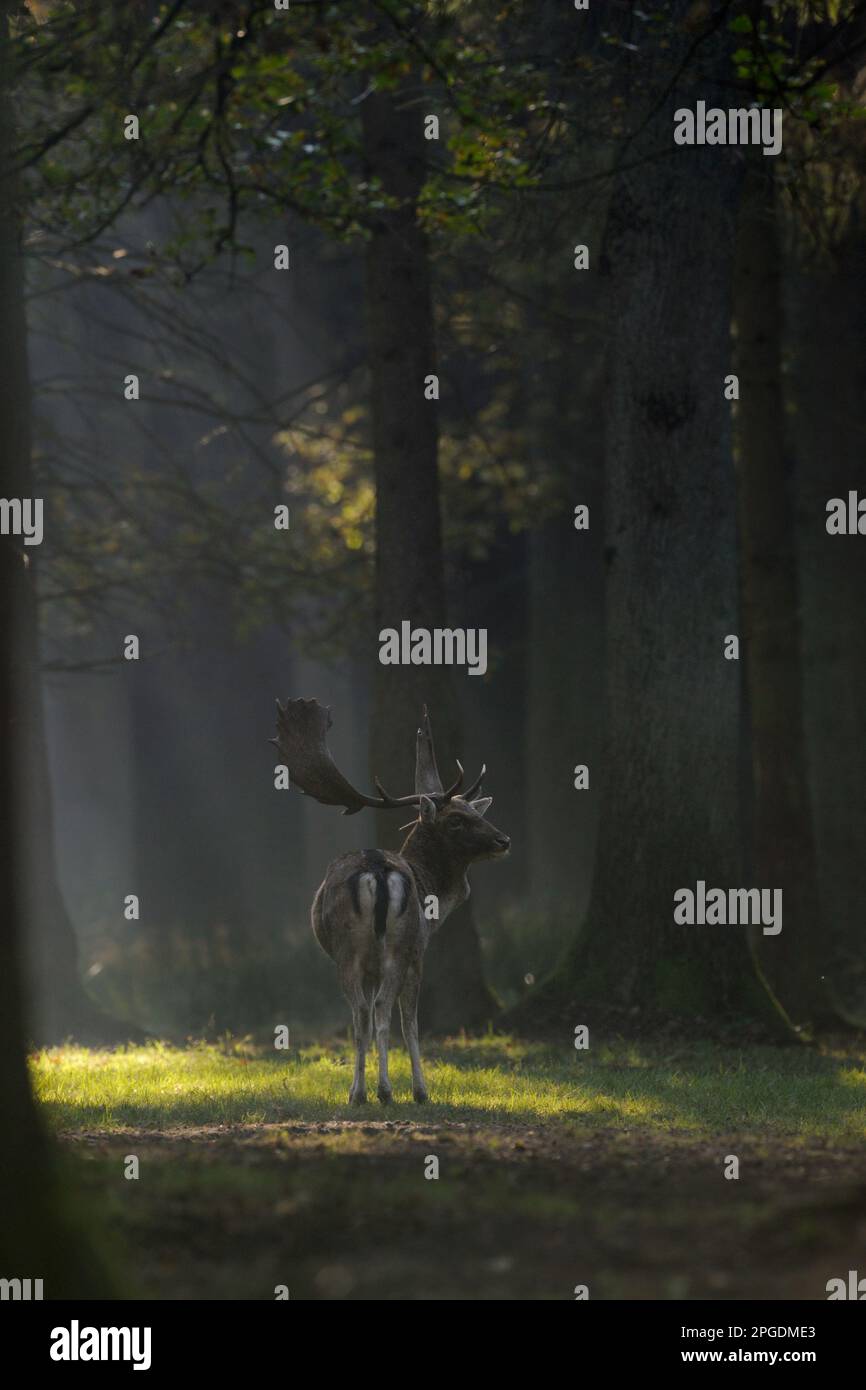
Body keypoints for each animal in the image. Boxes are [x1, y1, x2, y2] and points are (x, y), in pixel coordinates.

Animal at [271, 698, 510, 1105]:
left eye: (476, 812)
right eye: (457, 820)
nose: (503, 841)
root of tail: (377, 870)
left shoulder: (371, 964)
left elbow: (367, 1022)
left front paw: (360, 1088)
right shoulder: (418, 951)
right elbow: (409, 1022)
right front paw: (419, 1090)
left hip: (351, 951)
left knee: (361, 1013)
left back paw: (361, 1093)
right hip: (398, 946)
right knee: (383, 1008)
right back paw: (386, 1091)